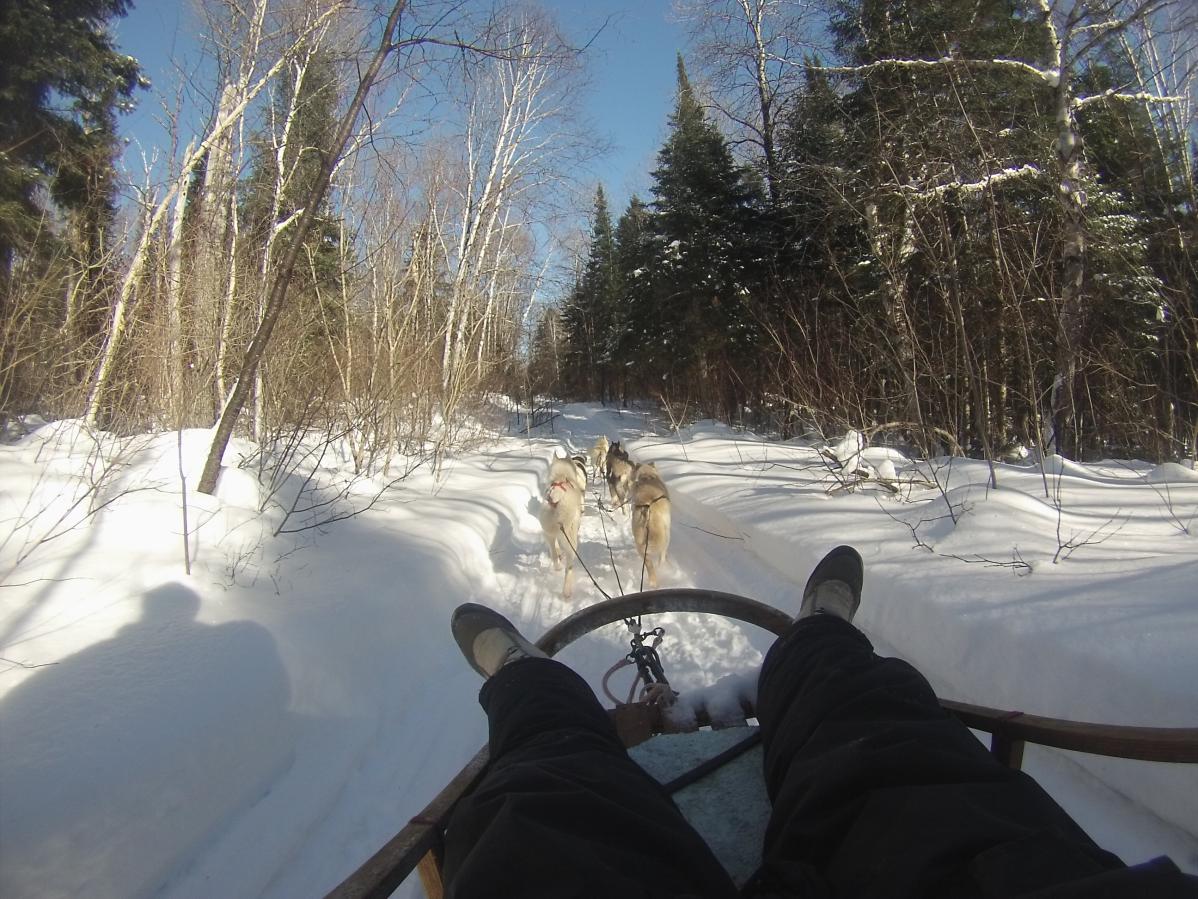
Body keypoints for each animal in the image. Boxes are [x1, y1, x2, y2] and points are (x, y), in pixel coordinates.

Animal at [539, 457, 584, 599]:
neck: (561, 477)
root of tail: (556, 499)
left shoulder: (553, 532)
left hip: (549, 531)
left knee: (553, 552)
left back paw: (557, 566)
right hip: (570, 538)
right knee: (569, 566)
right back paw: (567, 590)